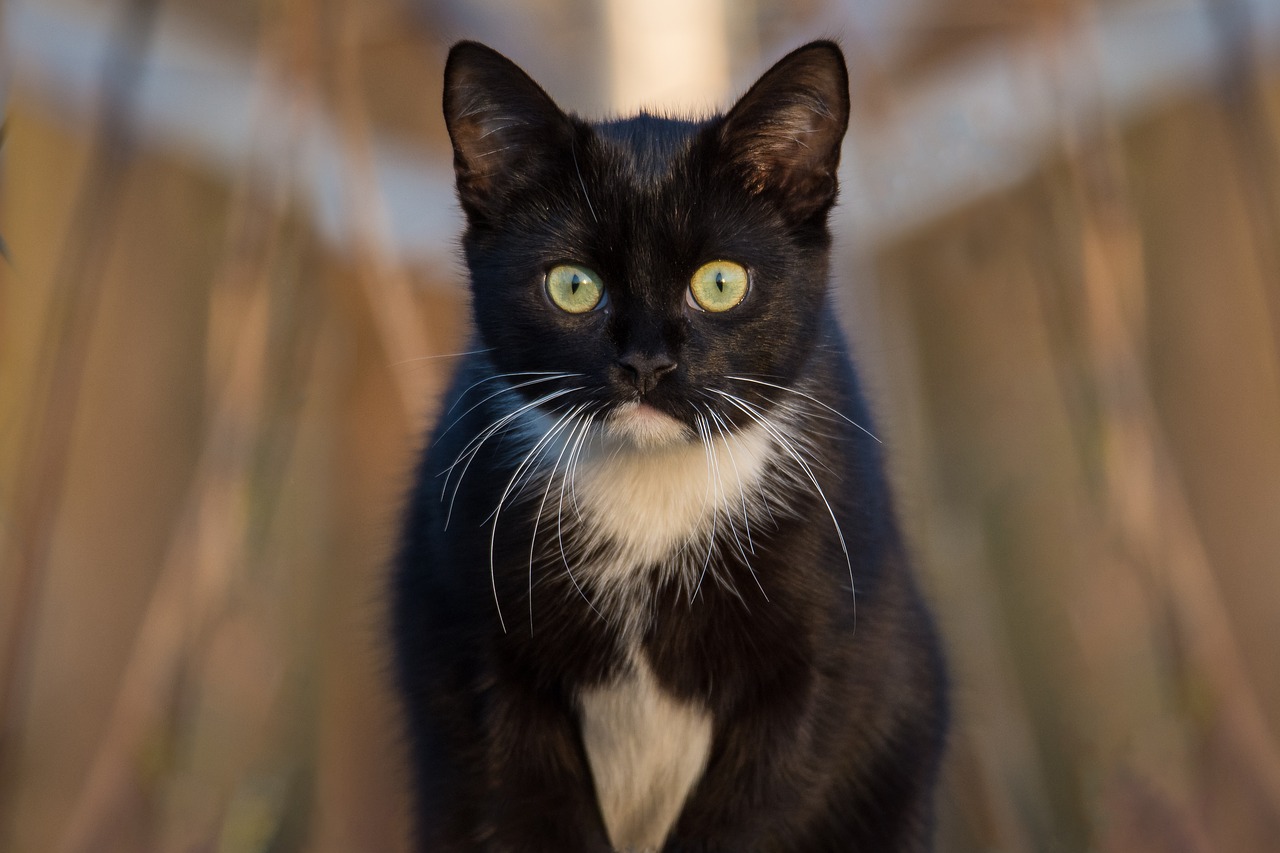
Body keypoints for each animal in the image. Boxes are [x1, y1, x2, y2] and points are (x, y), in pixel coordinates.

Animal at [384, 36, 947, 845]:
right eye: (573, 286)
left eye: (720, 283)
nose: (647, 362)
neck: (653, 505)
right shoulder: (475, 647)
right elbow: (525, 803)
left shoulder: (830, 655)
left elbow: (759, 803)